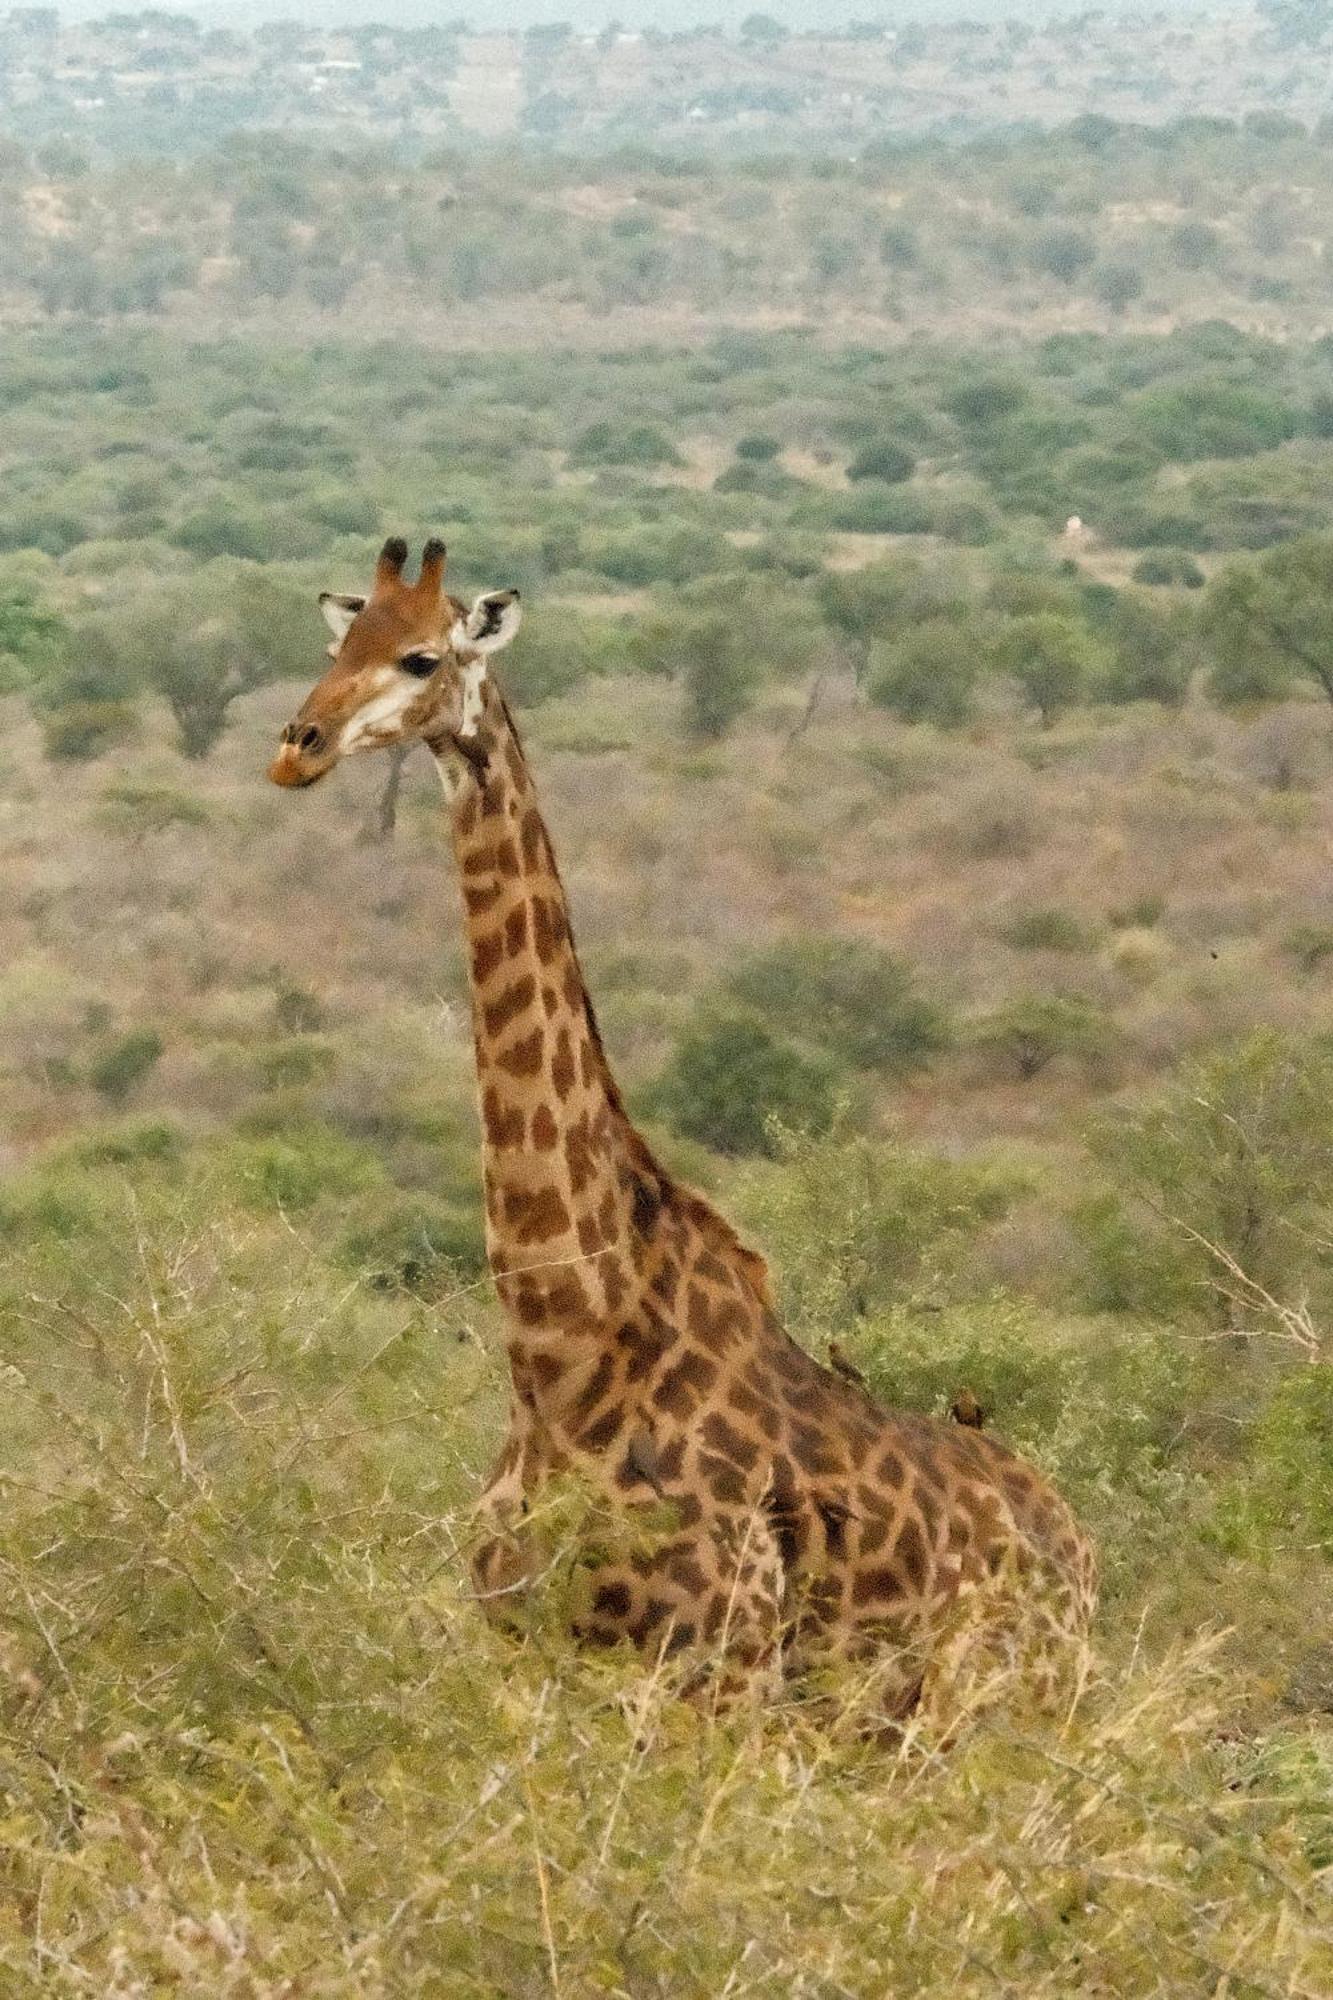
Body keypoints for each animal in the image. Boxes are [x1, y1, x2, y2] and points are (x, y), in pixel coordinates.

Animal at [268, 540, 1088, 1712]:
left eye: (422, 655)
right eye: (340, 644)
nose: (298, 748)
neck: (563, 1351)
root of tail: (1080, 1546)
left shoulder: (719, 1663)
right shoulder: (522, 1652)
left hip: (1010, 1702)